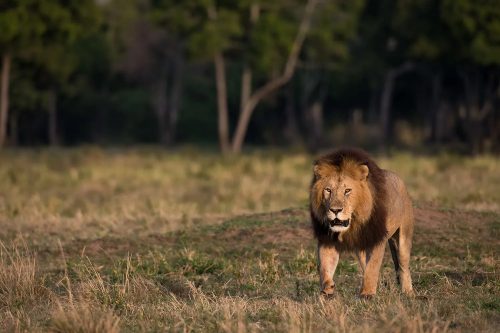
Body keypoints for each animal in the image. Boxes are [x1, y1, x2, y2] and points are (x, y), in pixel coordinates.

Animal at [308, 148, 414, 296]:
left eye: (347, 190)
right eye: (328, 190)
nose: (335, 210)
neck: (353, 223)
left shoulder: (377, 238)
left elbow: (373, 267)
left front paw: (367, 294)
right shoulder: (327, 239)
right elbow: (325, 266)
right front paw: (327, 288)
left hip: (403, 235)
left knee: (403, 265)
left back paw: (408, 292)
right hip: (362, 246)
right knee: (365, 265)